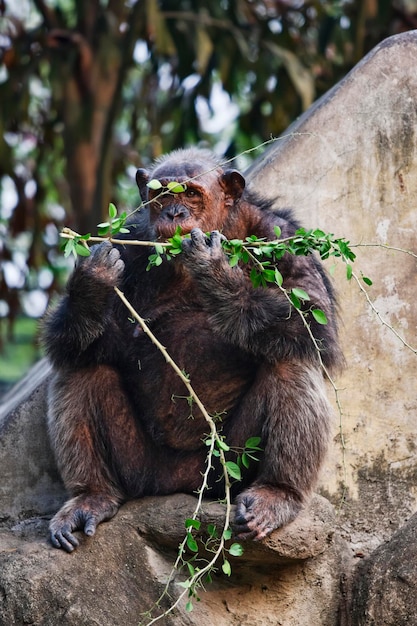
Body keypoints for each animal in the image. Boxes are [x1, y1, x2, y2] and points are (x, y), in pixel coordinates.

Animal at [43, 147, 342, 552]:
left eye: (190, 194)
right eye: (161, 196)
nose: (174, 214)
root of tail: (181, 490)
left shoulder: (284, 239)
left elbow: (312, 315)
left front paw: (213, 269)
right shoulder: (129, 242)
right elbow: (91, 340)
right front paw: (92, 281)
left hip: (225, 467)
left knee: (290, 359)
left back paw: (278, 494)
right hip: (141, 470)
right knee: (82, 364)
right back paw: (90, 496)